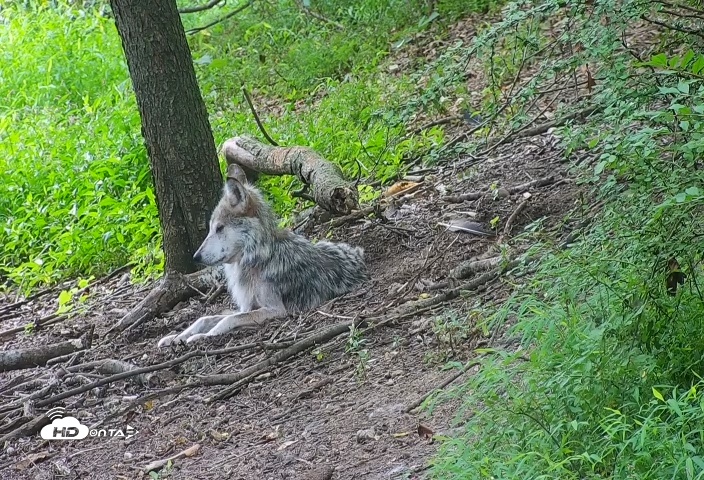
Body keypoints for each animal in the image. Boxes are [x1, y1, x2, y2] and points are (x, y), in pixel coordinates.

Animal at [157, 164, 369, 347]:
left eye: (219, 228)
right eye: (211, 228)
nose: (196, 257)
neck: (255, 259)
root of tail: (359, 253)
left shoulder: (275, 310)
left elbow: (228, 319)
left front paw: (201, 337)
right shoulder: (247, 307)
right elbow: (205, 318)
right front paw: (176, 337)